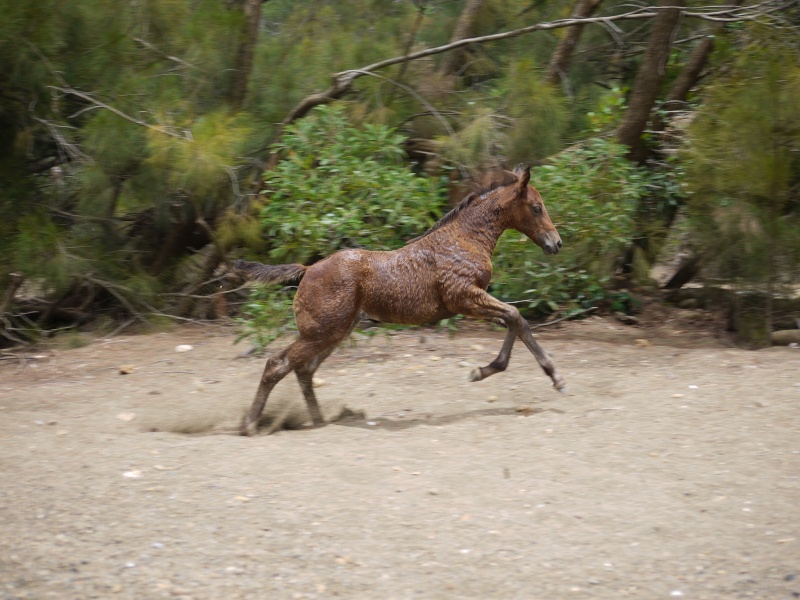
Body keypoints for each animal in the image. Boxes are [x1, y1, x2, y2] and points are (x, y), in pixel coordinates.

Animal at [234, 164, 564, 436]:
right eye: (537, 207)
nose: (556, 243)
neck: (466, 237)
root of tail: (306, 270)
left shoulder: (471, 302)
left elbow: (512, 320)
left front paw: (487, 371)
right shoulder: (463, 297)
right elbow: (516, 316)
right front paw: (554, 376)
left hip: (334, 332)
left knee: (304, 369)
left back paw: (318, 421)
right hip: (321, 332)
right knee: (278, 363)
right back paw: (250, 425)